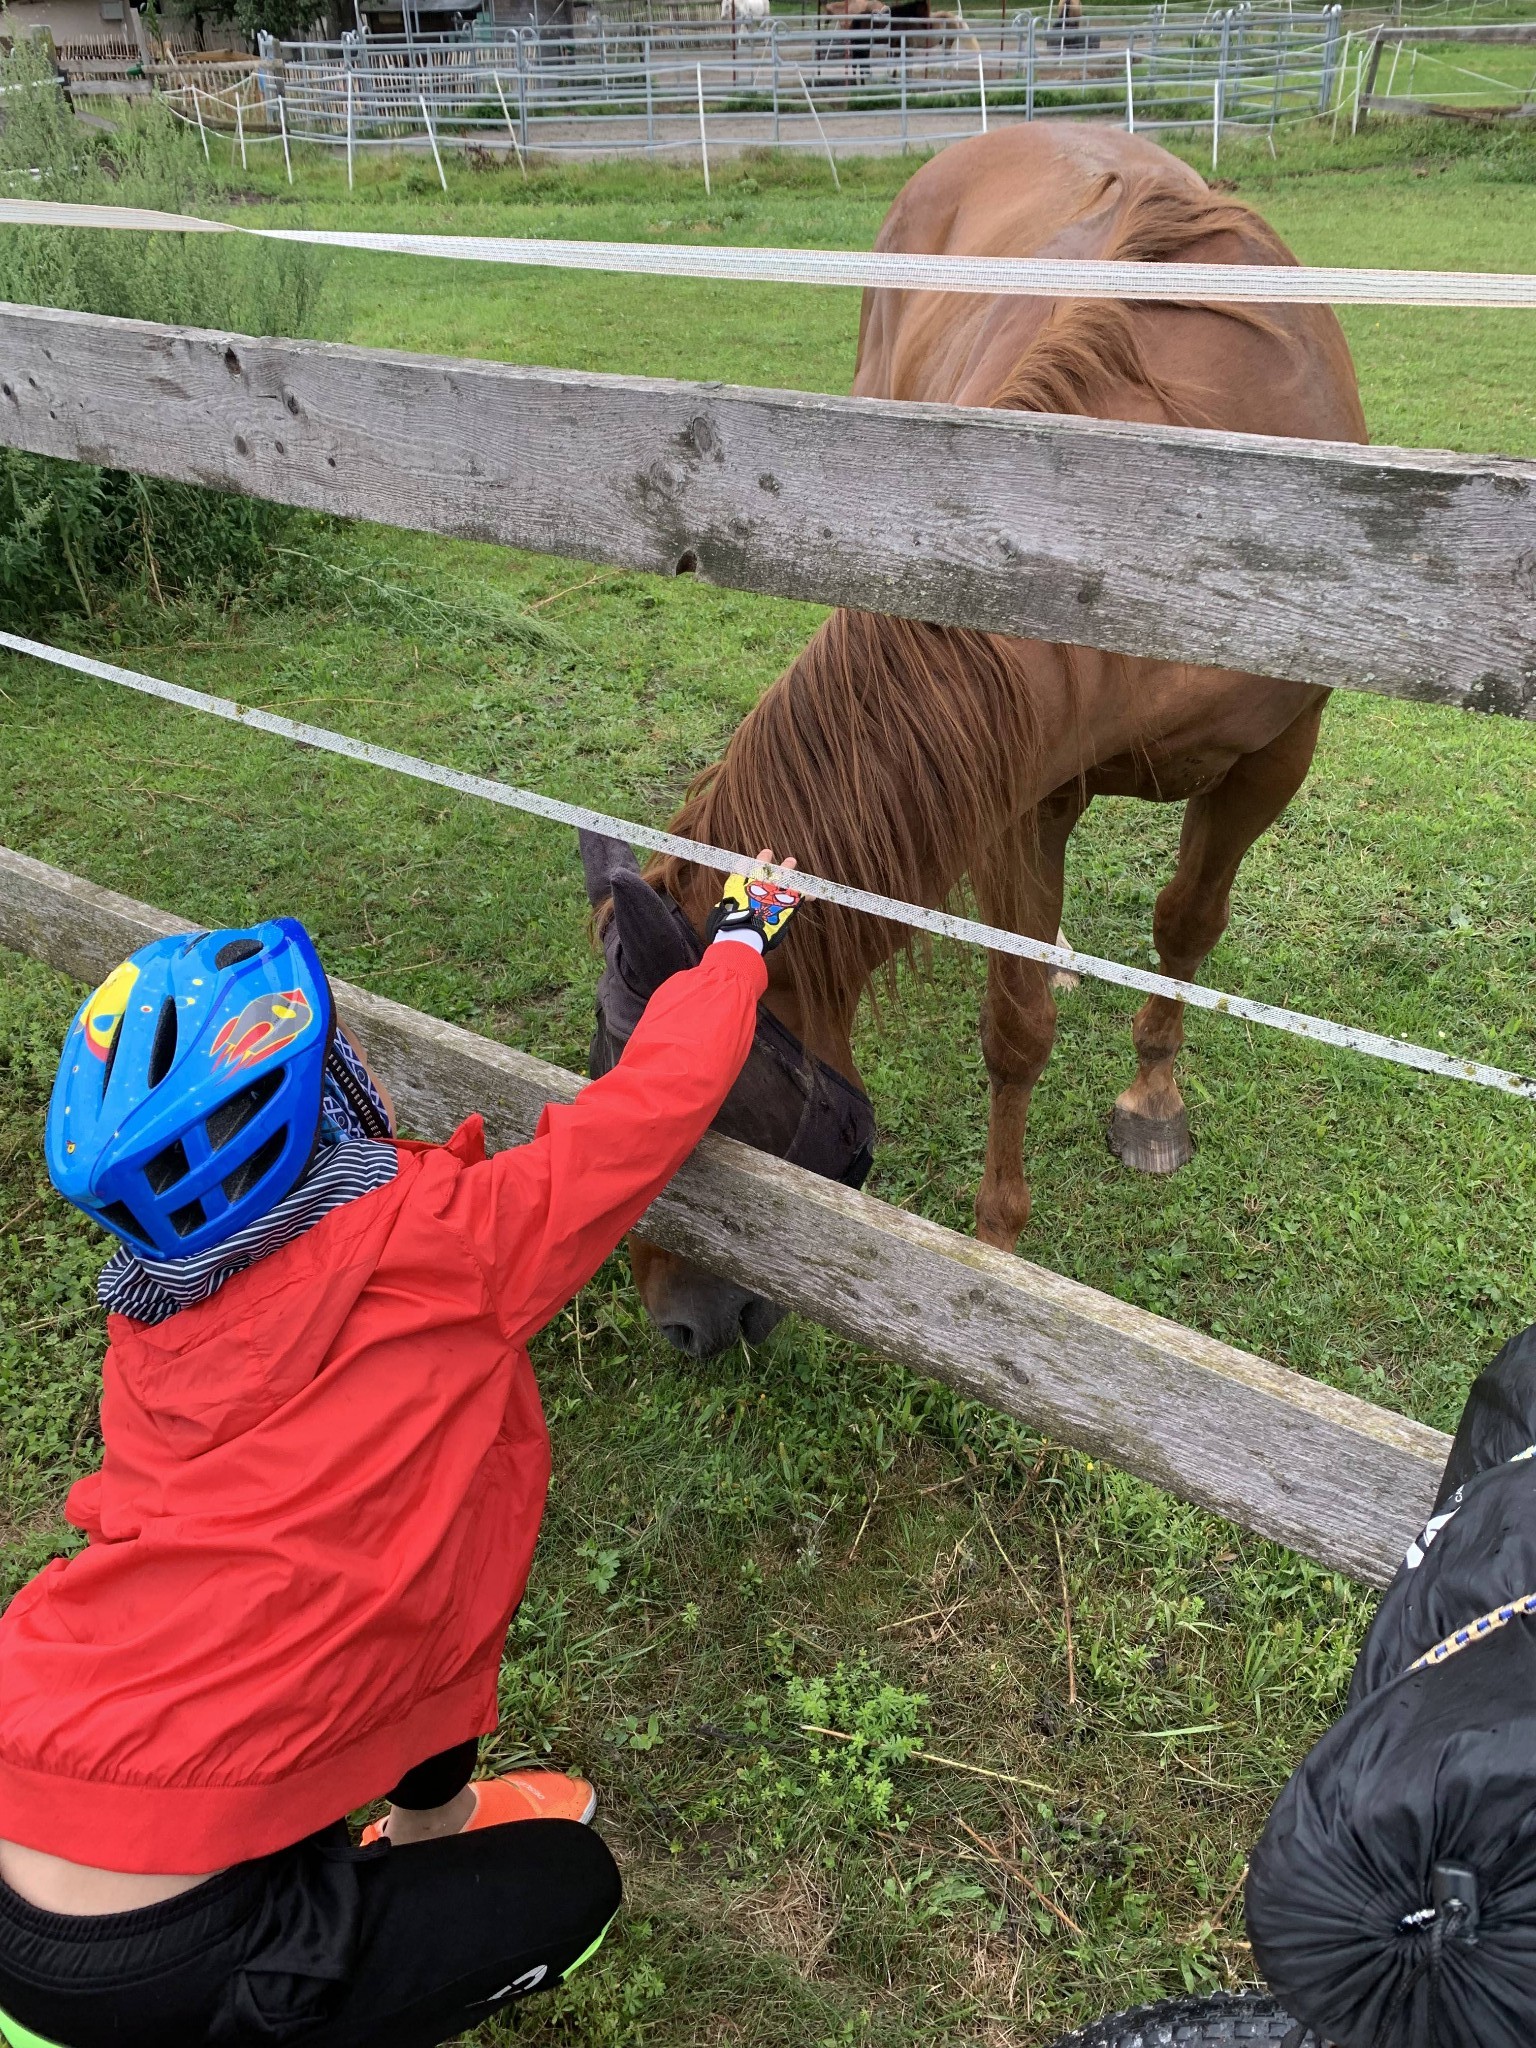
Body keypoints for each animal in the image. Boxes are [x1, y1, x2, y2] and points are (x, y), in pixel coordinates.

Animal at [581, 123, 1368, 1359]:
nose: (675, 1324)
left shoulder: (1272, 761)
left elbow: (1187, 924)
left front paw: (1151, 1102)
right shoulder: (1024, 792)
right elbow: (1017, 1020)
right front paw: (999, 1241)